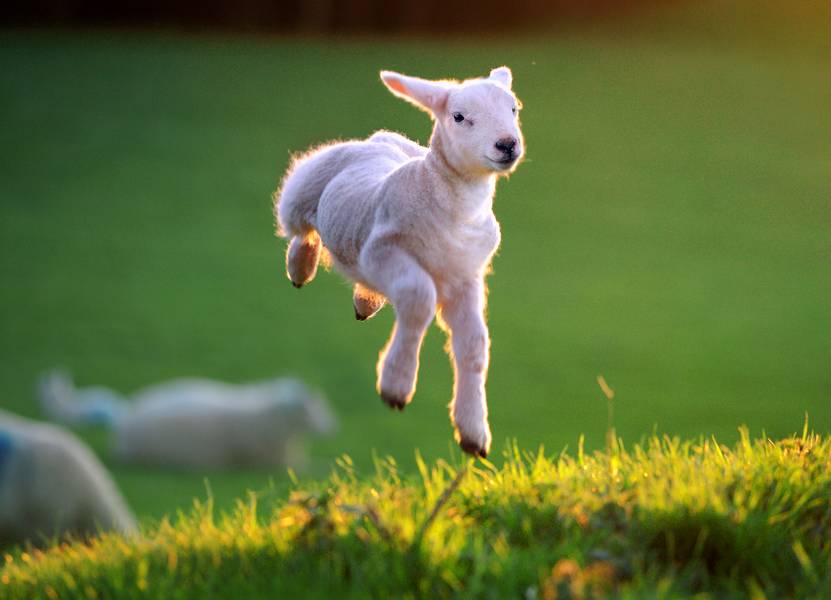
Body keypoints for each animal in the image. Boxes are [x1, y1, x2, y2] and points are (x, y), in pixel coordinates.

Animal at [274, 67, 524, 458]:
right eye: (459, 117)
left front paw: (473, 431)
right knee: (302, 230)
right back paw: (300, 267)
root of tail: (378, 140)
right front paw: (396, 384)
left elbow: (474, 345)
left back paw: (364, 303)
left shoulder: (466, 276)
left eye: (513, 109)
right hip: (303, 191)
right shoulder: (381, 251)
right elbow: (419, 298)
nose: (507, 144)